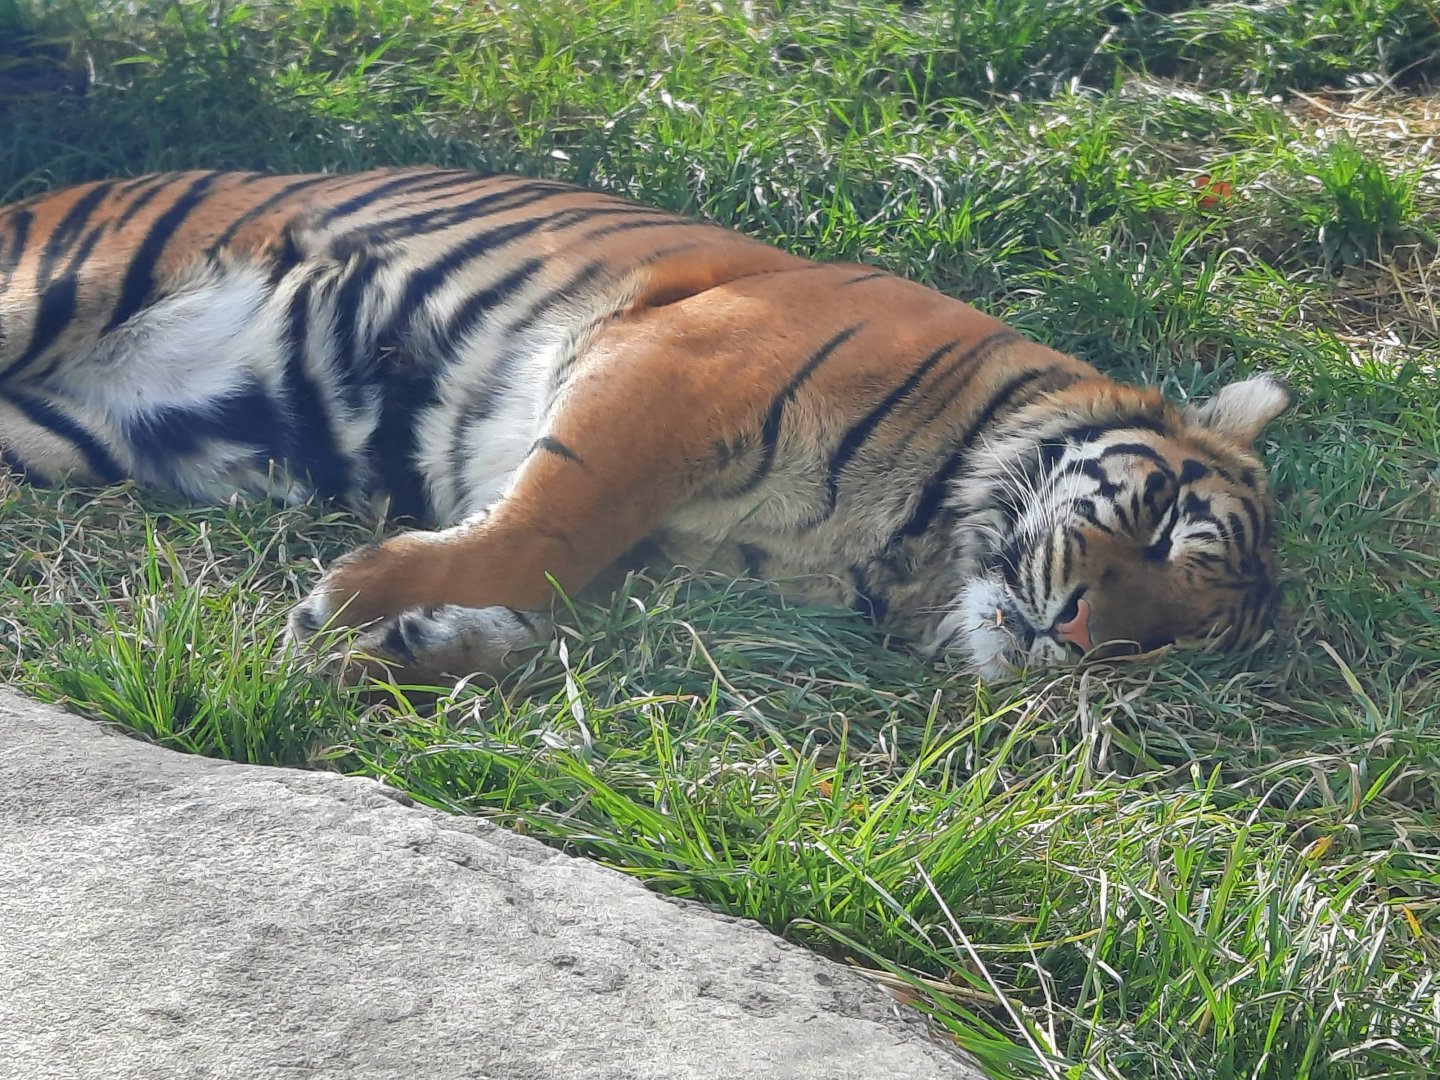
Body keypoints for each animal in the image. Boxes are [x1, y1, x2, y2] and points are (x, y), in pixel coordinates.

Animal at [0, 167, 1291, 683]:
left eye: (1167, 644)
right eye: (1162, 523)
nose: (1079, 639)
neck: (902, 549)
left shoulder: (664, 556)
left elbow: (550, 601)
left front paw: (420, 646)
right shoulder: (669, 370)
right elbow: (546, 529)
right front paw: (360, 597)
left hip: (54, 438)